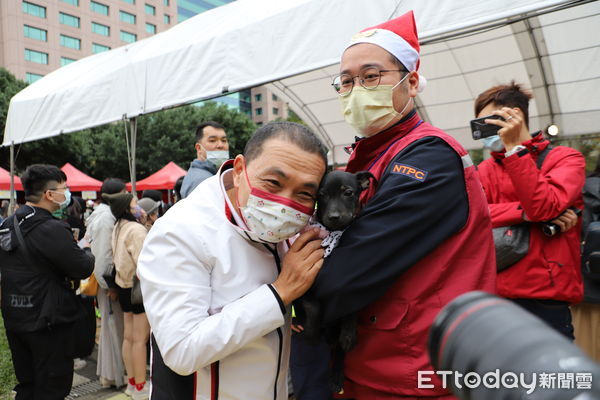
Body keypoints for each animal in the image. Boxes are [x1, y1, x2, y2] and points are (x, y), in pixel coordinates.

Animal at [292, 169, 372, 394]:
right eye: (322, 195)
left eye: (348, 193)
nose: (334, 217)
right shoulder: (305, 280)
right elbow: (313, 307)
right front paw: (311, 334)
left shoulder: (354, 280)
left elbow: (351, 306)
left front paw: (349, 334)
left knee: (339, 351)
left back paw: (337, 375)